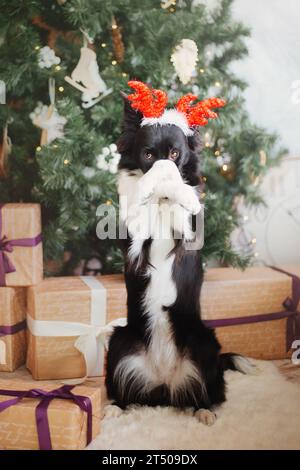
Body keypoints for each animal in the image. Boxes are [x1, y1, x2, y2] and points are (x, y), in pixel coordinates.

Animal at [104, 81, 252, 426]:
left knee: (209, 393)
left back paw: (205, 411)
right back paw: (116, 408)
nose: (164, 171)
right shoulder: (133, 242)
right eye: (148, 154)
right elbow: (139, 206)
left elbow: (185, 203)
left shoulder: (188, 233)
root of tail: (164, 381)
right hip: (119, 342)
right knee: (125, 390)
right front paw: (149, 186)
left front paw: (178, 191)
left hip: (204, 343)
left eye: (174, 154)